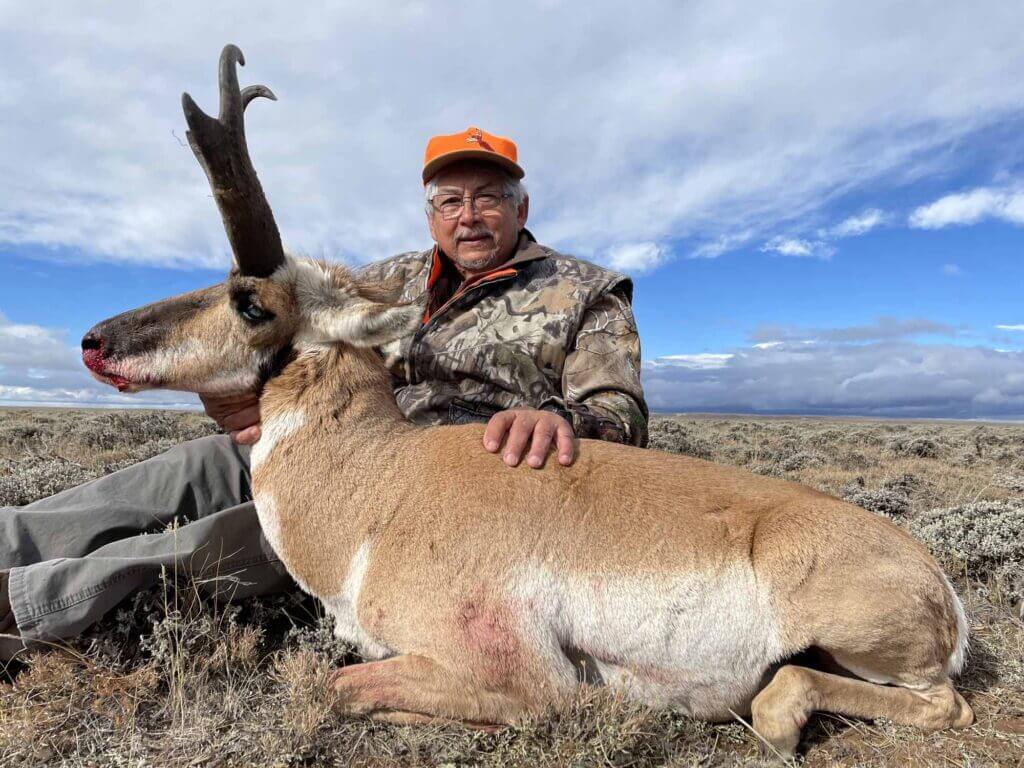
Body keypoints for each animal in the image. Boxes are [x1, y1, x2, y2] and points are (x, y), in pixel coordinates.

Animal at [81, 45, 973, 758]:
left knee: (933, 704)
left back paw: (779, 717)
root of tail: (935, 575)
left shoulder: (519, 676)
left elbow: (339, 685)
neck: (383, 487)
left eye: (249, 301)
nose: (92, 339)